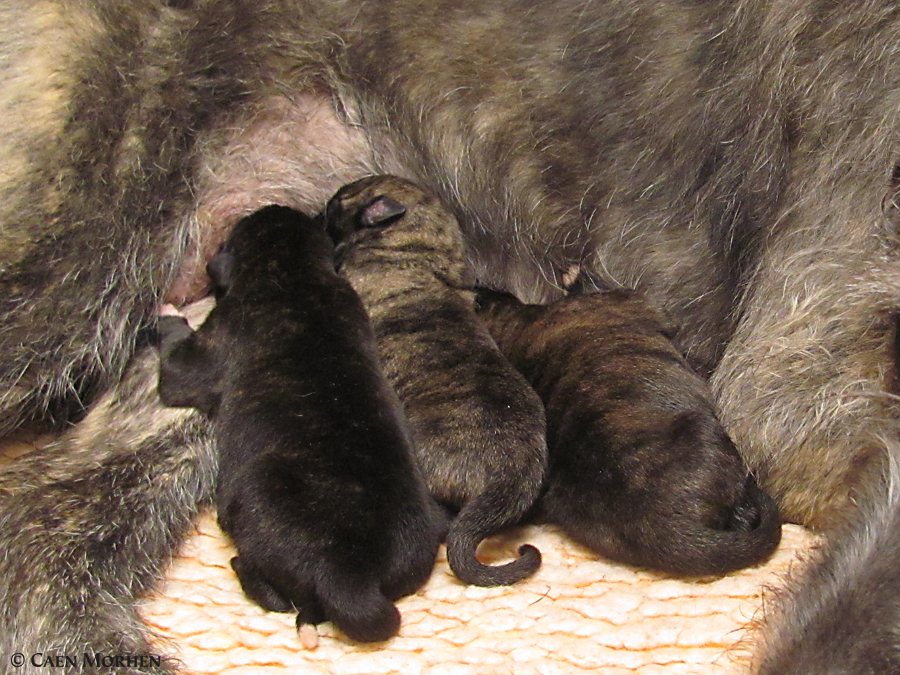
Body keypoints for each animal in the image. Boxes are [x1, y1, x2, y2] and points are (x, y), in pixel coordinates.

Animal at [159, 206, 446, 644]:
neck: (291, 268)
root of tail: (349, 577)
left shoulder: (213, 336)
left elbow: (175, 356)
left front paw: (168, 315)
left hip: (251, 514)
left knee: (273, 595)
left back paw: (243, 569)